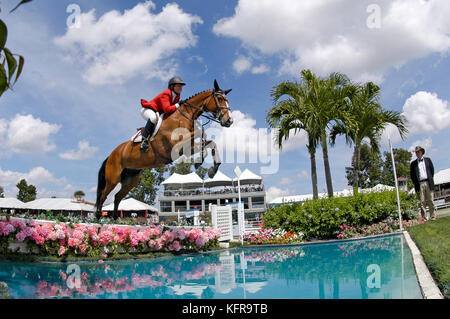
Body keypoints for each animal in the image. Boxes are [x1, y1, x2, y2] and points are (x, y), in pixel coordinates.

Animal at [96, 79, 234, 220]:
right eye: (219, 99)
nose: (229, 121)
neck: (184, 116)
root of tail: (111, 155)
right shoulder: (176, 146)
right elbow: (201, 134)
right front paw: (199, 162)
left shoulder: (185, 148)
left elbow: (210, 143)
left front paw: (212, 169)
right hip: (113, 178)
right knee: (103, 195)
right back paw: (98, 217)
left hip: (130, 180)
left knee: (117, 196)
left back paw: (115, 218)